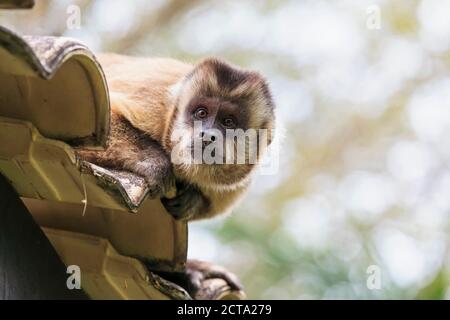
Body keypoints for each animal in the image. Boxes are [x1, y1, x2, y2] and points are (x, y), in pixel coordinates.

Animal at [75, 53, 276, 296]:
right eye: (201, 113)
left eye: (228, 122)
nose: (207, 135)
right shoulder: (155, 101)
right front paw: (156, 162)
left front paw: (192, 199)